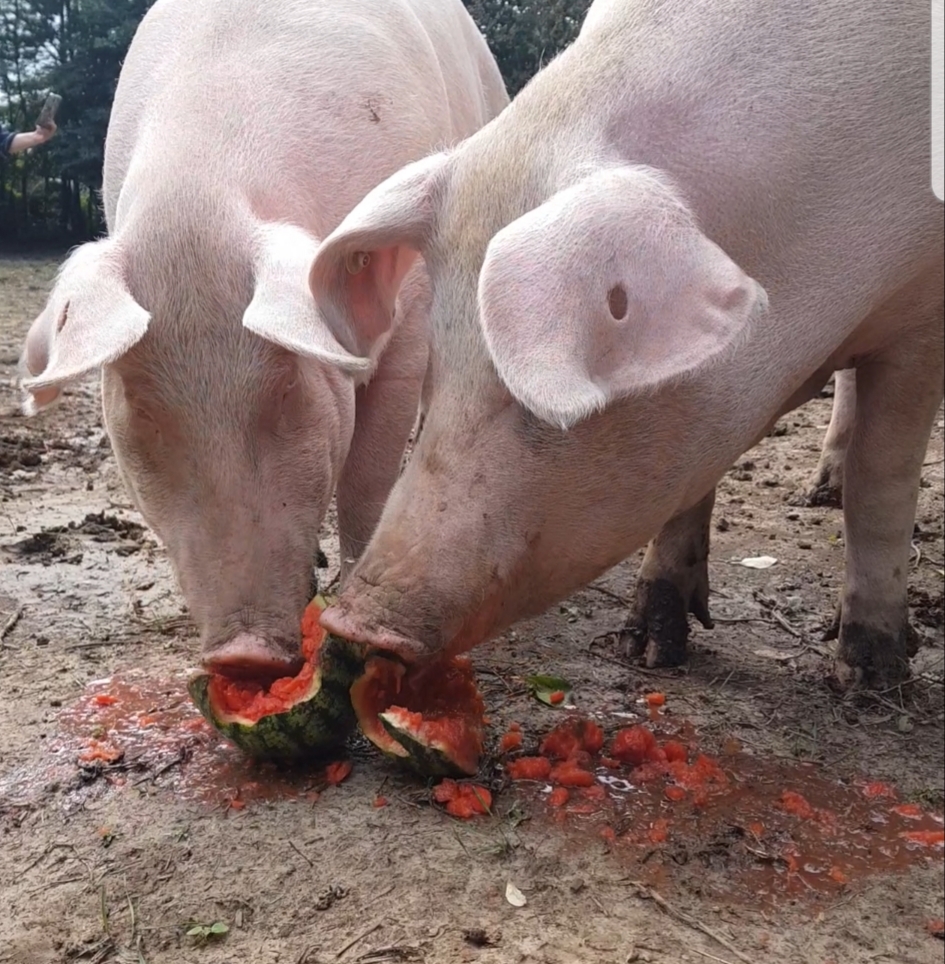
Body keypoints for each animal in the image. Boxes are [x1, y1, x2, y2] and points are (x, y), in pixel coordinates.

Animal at [16, 0, 508, 676]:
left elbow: (366, 484)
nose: (243, 655)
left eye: (285, 389)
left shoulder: (405, 326)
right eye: (141, 413)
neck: (202, 185)